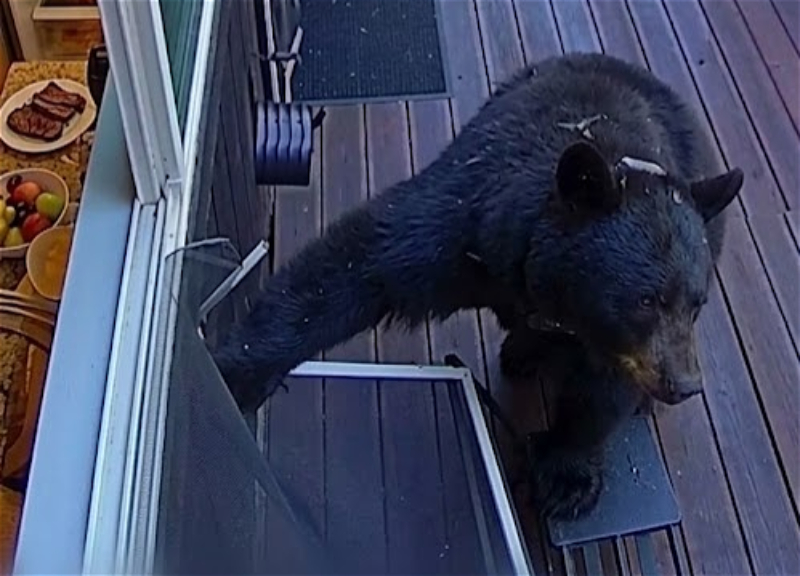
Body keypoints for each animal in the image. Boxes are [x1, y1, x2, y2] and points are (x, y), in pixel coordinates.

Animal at [211, 53, 744, 520]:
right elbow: (360, 264)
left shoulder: (611, 339)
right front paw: (238, 371)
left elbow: (602, 389)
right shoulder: (471, 222)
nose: (685, 384)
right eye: (646, 299)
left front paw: (567, 476)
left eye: (697, 304)